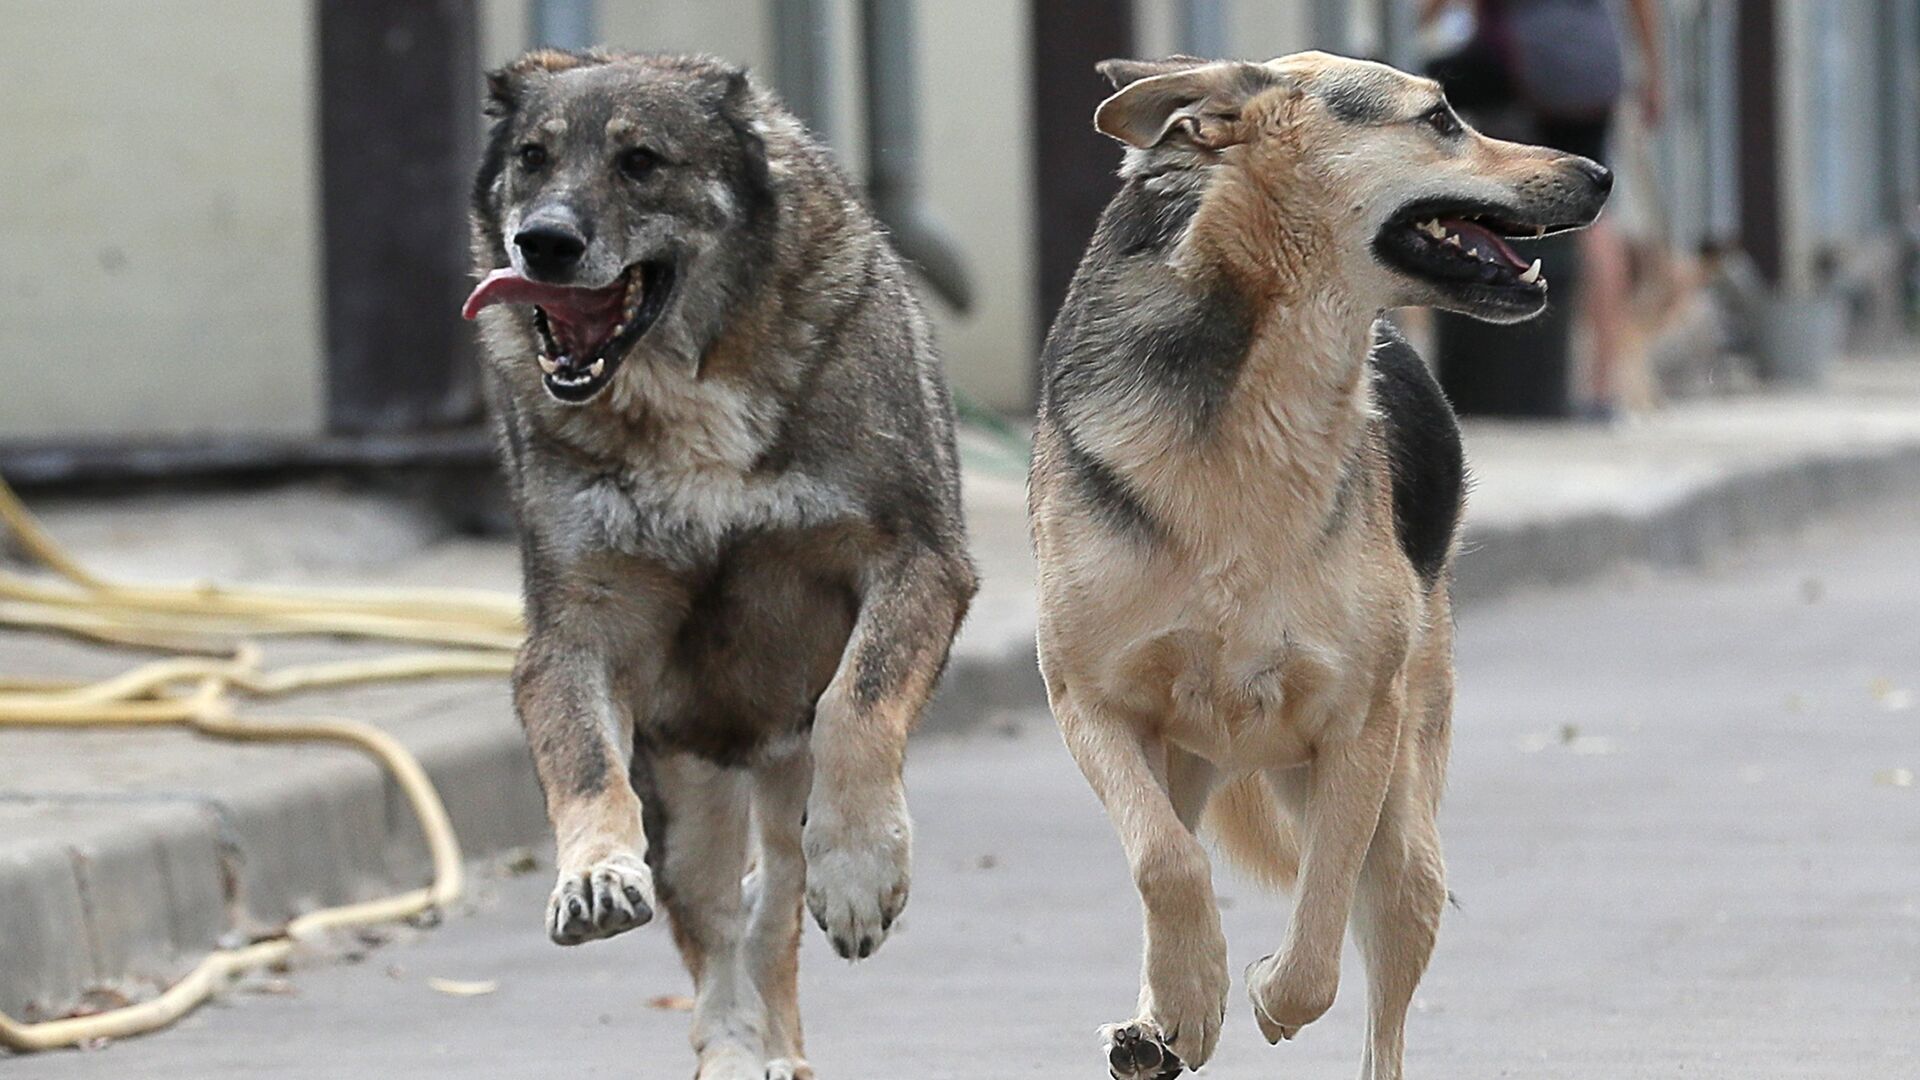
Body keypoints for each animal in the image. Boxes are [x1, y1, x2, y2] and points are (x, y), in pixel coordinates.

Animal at [1029, 52, 1612, 1076]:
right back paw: (1161, 1017)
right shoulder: (1089, 701)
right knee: (1176, 851)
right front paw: (1188, 1001)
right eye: (1443, 117)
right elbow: (1164, 862)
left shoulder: (1355, 729)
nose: (1602, 173)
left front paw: (1262, 989)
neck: (1257, 410)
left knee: (1381, 989)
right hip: (1183, 758)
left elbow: (1314, 950)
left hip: (1407, 826)